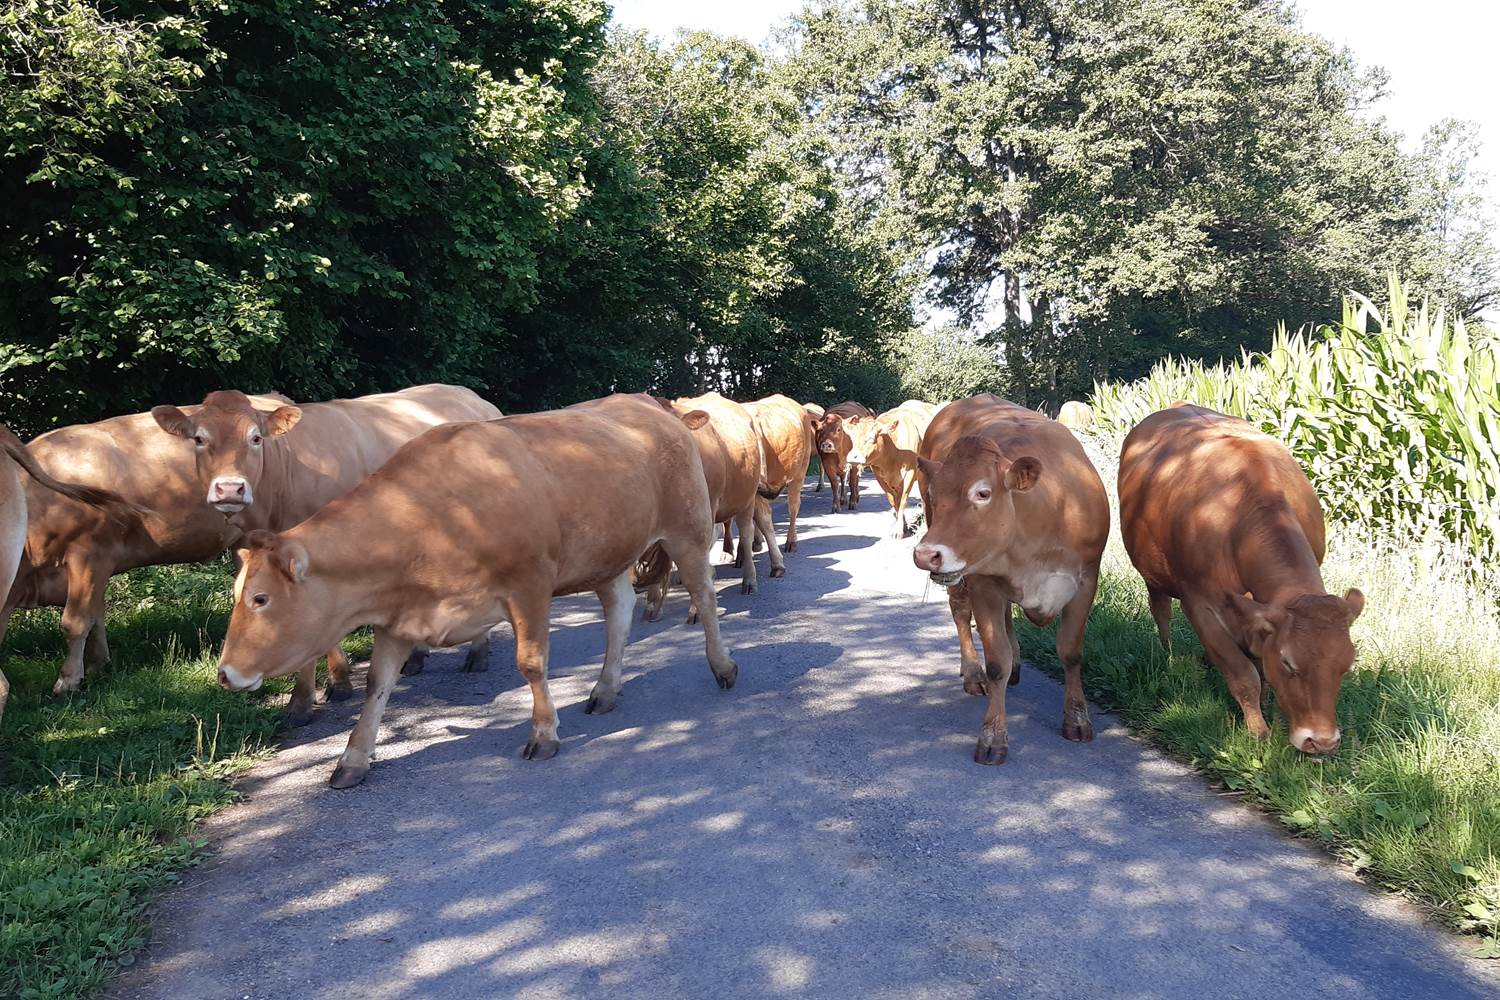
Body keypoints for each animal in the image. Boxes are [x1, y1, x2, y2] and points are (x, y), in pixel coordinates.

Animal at [215, 393, 740, 788]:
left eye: (260, 599)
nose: (224, 674)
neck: (433, 518)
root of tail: (654, 407)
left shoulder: (529, 584)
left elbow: (532, 664)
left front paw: (544, 734)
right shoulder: (401, 614)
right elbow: (377, 686)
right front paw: (353, 759)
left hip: (688, 527)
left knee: (704, 594)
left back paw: (722, 667)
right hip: (607, 550)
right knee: (619, 610)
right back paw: (605, 689)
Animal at [846, 399, 941, 538]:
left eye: (871, 438)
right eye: (852, 438)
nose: (853, 457)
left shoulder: (910, 472)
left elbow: (901, 501)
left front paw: (898, 530)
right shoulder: (879, 475)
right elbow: (893, 500)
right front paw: (902, 525)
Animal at [913, 394, 1109, 765]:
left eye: (982, 493)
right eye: (932, 495)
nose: (925, 554)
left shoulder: (1086, 579)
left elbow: (1071, 652)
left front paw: (1077, 718)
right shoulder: (982, 582)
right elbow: (996, 662)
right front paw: (993, 736)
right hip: (961, 575)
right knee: (961, 612)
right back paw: (972, 673)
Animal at [1117, 404, 1363, 755]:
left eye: (1347, 665)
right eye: (1288, 663)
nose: (1322, 741)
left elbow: (1261, 668)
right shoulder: (1200, 606)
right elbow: (1244, 674)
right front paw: (1258, 732)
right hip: (1153, 572)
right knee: (1160, 610)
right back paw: (1170, 657)